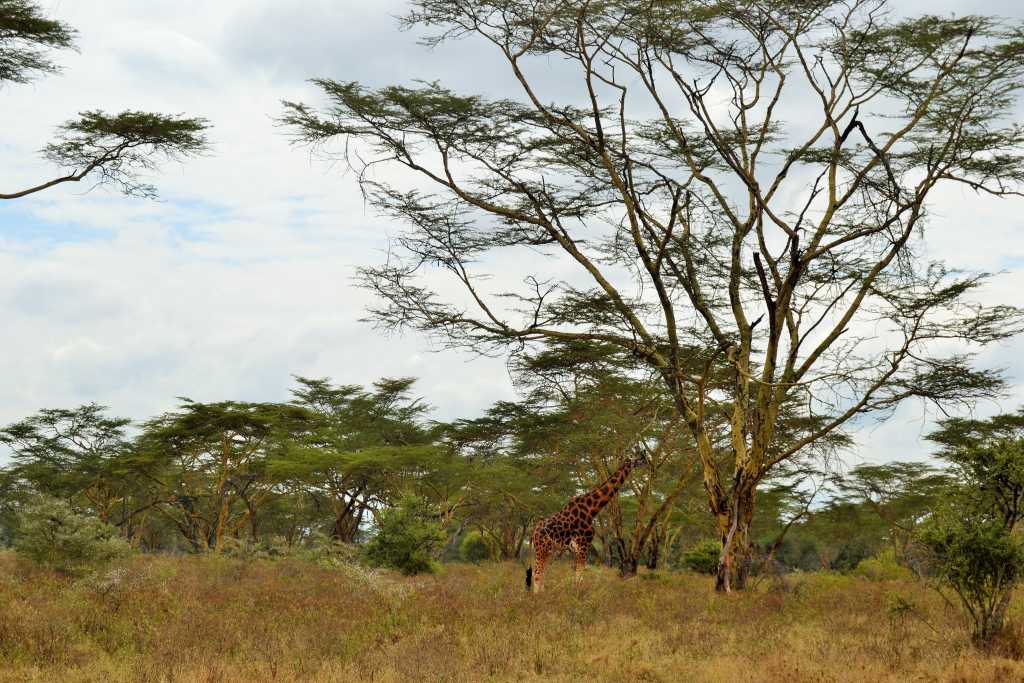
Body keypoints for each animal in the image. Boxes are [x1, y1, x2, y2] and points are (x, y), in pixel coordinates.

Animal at [528, 448, 647, 593]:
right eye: (641, 458)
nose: (648, 465)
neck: (592, 509)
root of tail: (534, 532)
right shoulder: (583, 545)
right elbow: (579, 575)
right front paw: (576, 595)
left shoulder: (577, 548)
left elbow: (577, 575)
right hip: (542, 548)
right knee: (537, 573)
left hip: (549, 550)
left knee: (542, 572)